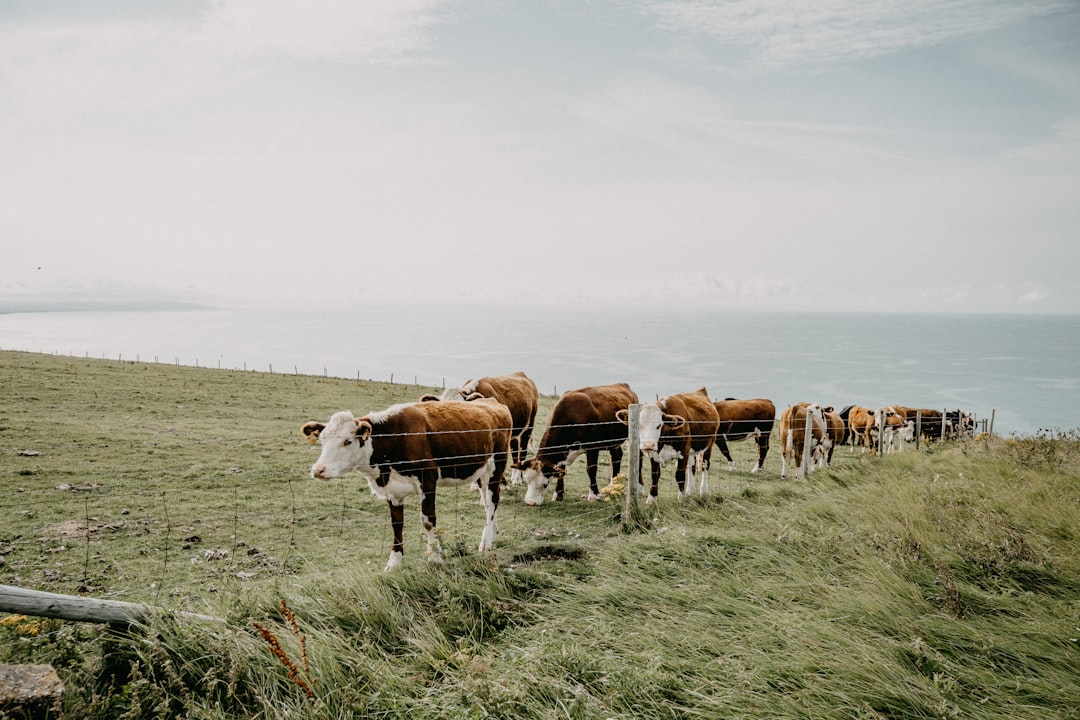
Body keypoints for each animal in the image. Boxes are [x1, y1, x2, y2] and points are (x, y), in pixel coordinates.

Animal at [300, 397, 509, 569]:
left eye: (347, 441)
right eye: (322, 440)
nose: (318, 470)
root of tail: (492, 402)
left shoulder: (428, 480)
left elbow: (428, 521)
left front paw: (435, 557)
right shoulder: (392, 490)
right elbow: (396, 524)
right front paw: (394, 562)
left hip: (497, 465)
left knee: (493, 501)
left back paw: (486, 542)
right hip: (481, 471)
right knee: (488, 503)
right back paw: (492, 531)